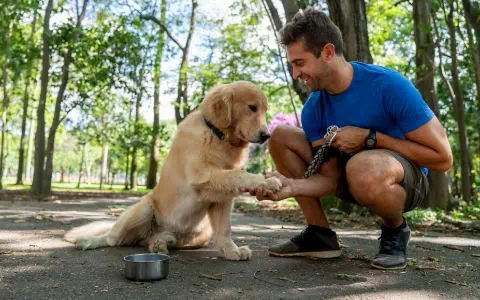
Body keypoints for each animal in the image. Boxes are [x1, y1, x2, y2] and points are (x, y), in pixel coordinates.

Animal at [63, 81, 282, 260]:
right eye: (252, 108)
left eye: (264, 110)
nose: (267, 135)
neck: (218, 136)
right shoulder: (201, 176)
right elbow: (238, 174)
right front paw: (266, 181)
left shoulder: (222, 198)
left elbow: (224, 229)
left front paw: (231, 251)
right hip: (143, 209)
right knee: (112, 239)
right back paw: (88, 241)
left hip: (200, 233)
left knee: (156, 239)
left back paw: (160, 242)